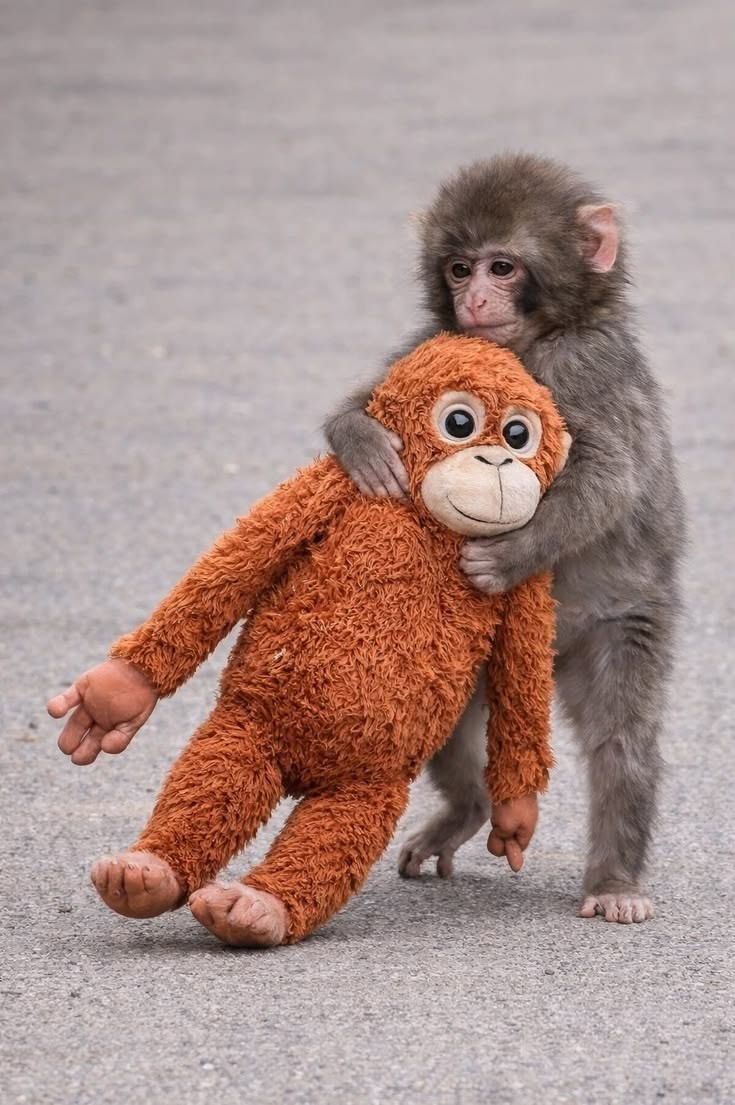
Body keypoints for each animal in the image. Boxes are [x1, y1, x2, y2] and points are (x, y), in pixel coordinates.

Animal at [324, 153, 685, 924]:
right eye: (458, 268)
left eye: (502, 266)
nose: (475, 301)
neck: (532, 342)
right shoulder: (439, 349)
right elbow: (373, 401)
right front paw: (361, 439)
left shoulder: (588, 364)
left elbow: (608, 476)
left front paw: (509, 555)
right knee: (444, 719)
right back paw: (471, 807)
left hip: (617, 626)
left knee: (620, 742)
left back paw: (614, 880)